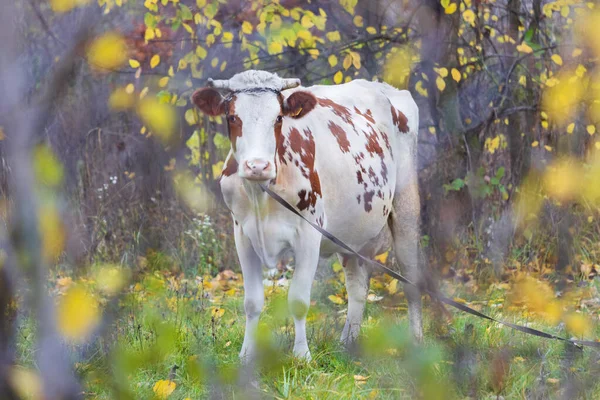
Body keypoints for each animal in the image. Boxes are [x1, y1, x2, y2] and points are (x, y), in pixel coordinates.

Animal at [192, 70, 422, 360]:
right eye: (232, 117)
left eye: (278, 118)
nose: (257, 166)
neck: (261, 194)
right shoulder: (242, 235)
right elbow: (252, 302)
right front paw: (246, 355)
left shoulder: (309, 234)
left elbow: (299, 300)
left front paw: (302, 356)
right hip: (353, 234)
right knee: (357, 287)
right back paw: (347, 342)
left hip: (406, 208)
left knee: (411, 279)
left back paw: (416, 342)